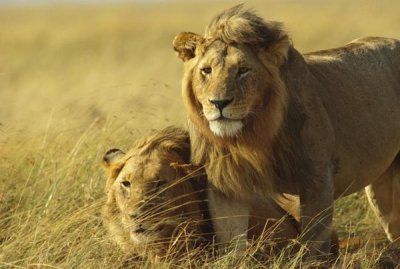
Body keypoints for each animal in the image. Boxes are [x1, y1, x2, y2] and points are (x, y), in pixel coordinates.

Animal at [173, 3, 400, 255]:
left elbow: (313, 247)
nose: (219, 103)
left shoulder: (317, 181)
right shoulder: (225, 185)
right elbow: (231, 243)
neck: (250, 136)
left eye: (243, 70)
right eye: (206, 71)